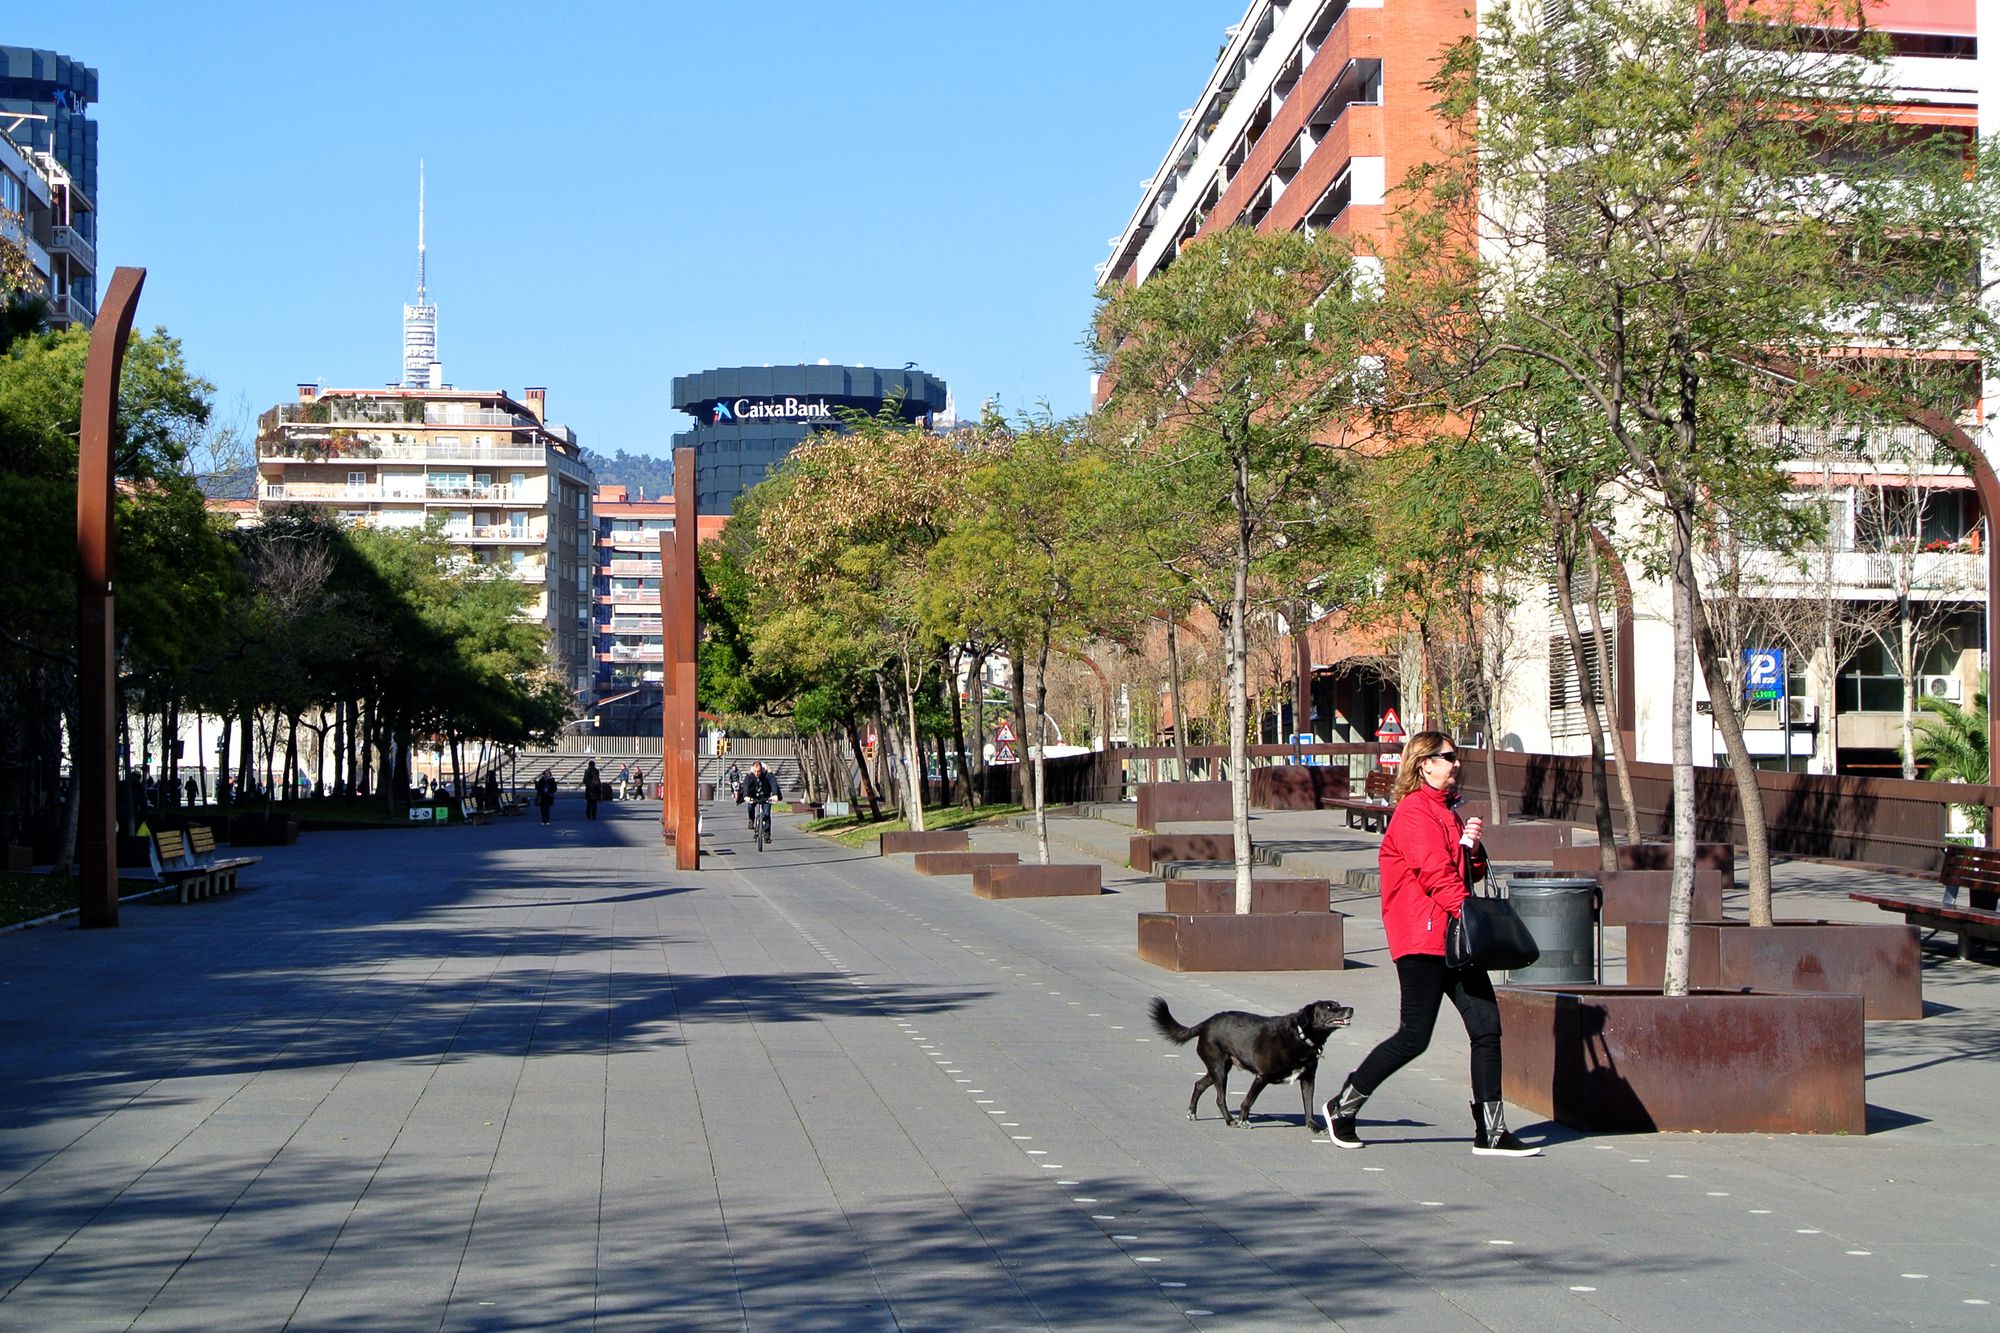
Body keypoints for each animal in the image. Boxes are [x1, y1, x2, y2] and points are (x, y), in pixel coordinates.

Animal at [1152, 992, 1352, 1128]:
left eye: (1338, 1004)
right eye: (1329, 1008)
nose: (1351, 1009)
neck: (1301, 1036)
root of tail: (1206, 1022)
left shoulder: (1308, 1079)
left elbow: (1308, 1105)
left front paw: (1313, 1126)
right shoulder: (1262, 1077)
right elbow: (1248, 1100)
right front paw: (1243, 1120)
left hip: (1219, 1068)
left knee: (1199, 1085)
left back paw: (1192, 1112)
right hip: (1219, 1069)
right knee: (1219, 1098)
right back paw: (1230, 1120)